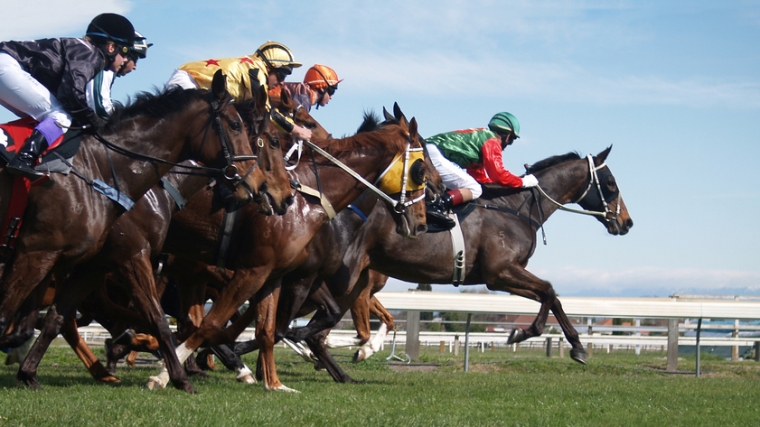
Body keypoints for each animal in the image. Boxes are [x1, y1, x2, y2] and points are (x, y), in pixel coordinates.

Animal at [0, 71, 288, 392]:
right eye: (271, 141)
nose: (276, 193)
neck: (101, 171)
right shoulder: (46, 251)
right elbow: (158, 319)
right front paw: (176, 374)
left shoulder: (94, 264)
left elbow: (57, 319)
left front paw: (28, 372)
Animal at [148, 106, 430, 391]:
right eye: (423, 169)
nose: (421, 223)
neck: (310, 201)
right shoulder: (279, 274)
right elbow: (257, 326)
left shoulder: (297, 276)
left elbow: (278, 325)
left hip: (185, 272)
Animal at [278, 146, 633, 382]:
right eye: (611, 184)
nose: (626, 223)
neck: (517, 207)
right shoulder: (499, 272)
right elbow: (549, 291)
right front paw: (534, 336)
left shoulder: (505, 274)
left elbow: (550, 296)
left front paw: (561, 343)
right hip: (342, 279)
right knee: (305, 325)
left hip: (352, 280)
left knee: (310, 328)